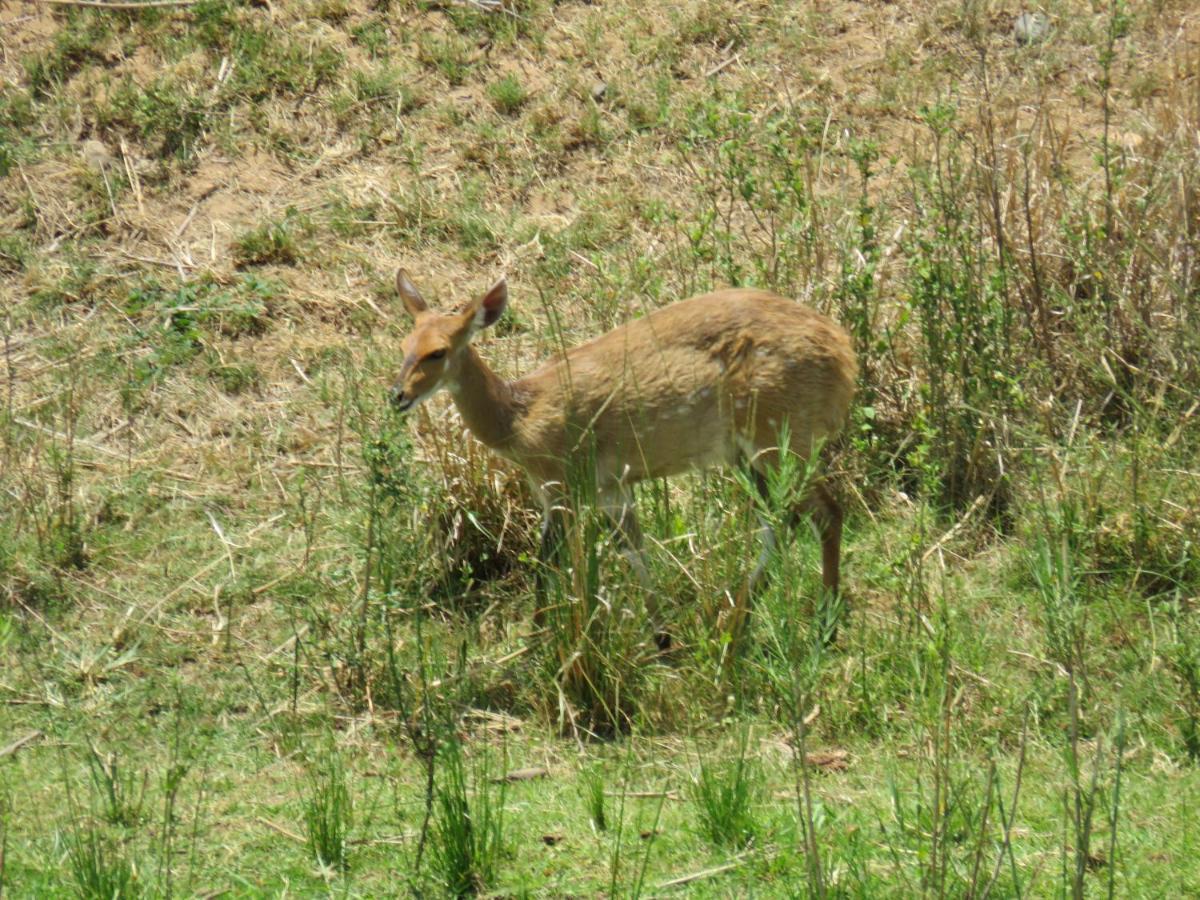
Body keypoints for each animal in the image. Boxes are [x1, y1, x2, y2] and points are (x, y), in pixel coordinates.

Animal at [388, 271, 859, 643]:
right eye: (404, 343)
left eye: (438, 351)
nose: (397, 396)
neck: (519, 419)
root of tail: (845, 357)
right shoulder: (611, 489)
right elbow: (635, 552)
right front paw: (662, 638)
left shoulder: (564, 485)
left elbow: (547, 565)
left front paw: (537, 643)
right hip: (749, 456)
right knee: (780, 523)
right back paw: (735, 621)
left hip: (781, 437)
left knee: (825, 513)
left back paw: (823, 621)